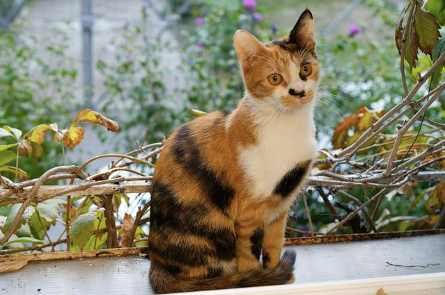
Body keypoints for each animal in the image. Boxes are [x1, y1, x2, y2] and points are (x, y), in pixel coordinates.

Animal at [147, 8, 318, 294]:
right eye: (274, 78)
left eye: (305, 69)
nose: (298, 91)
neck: (287, 126)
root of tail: (155, 263)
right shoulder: (248, 213)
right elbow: (248, 256)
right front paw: (256, 280)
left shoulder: (280, 208)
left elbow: (273, 247)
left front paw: (275, 276)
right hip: (214, 231)